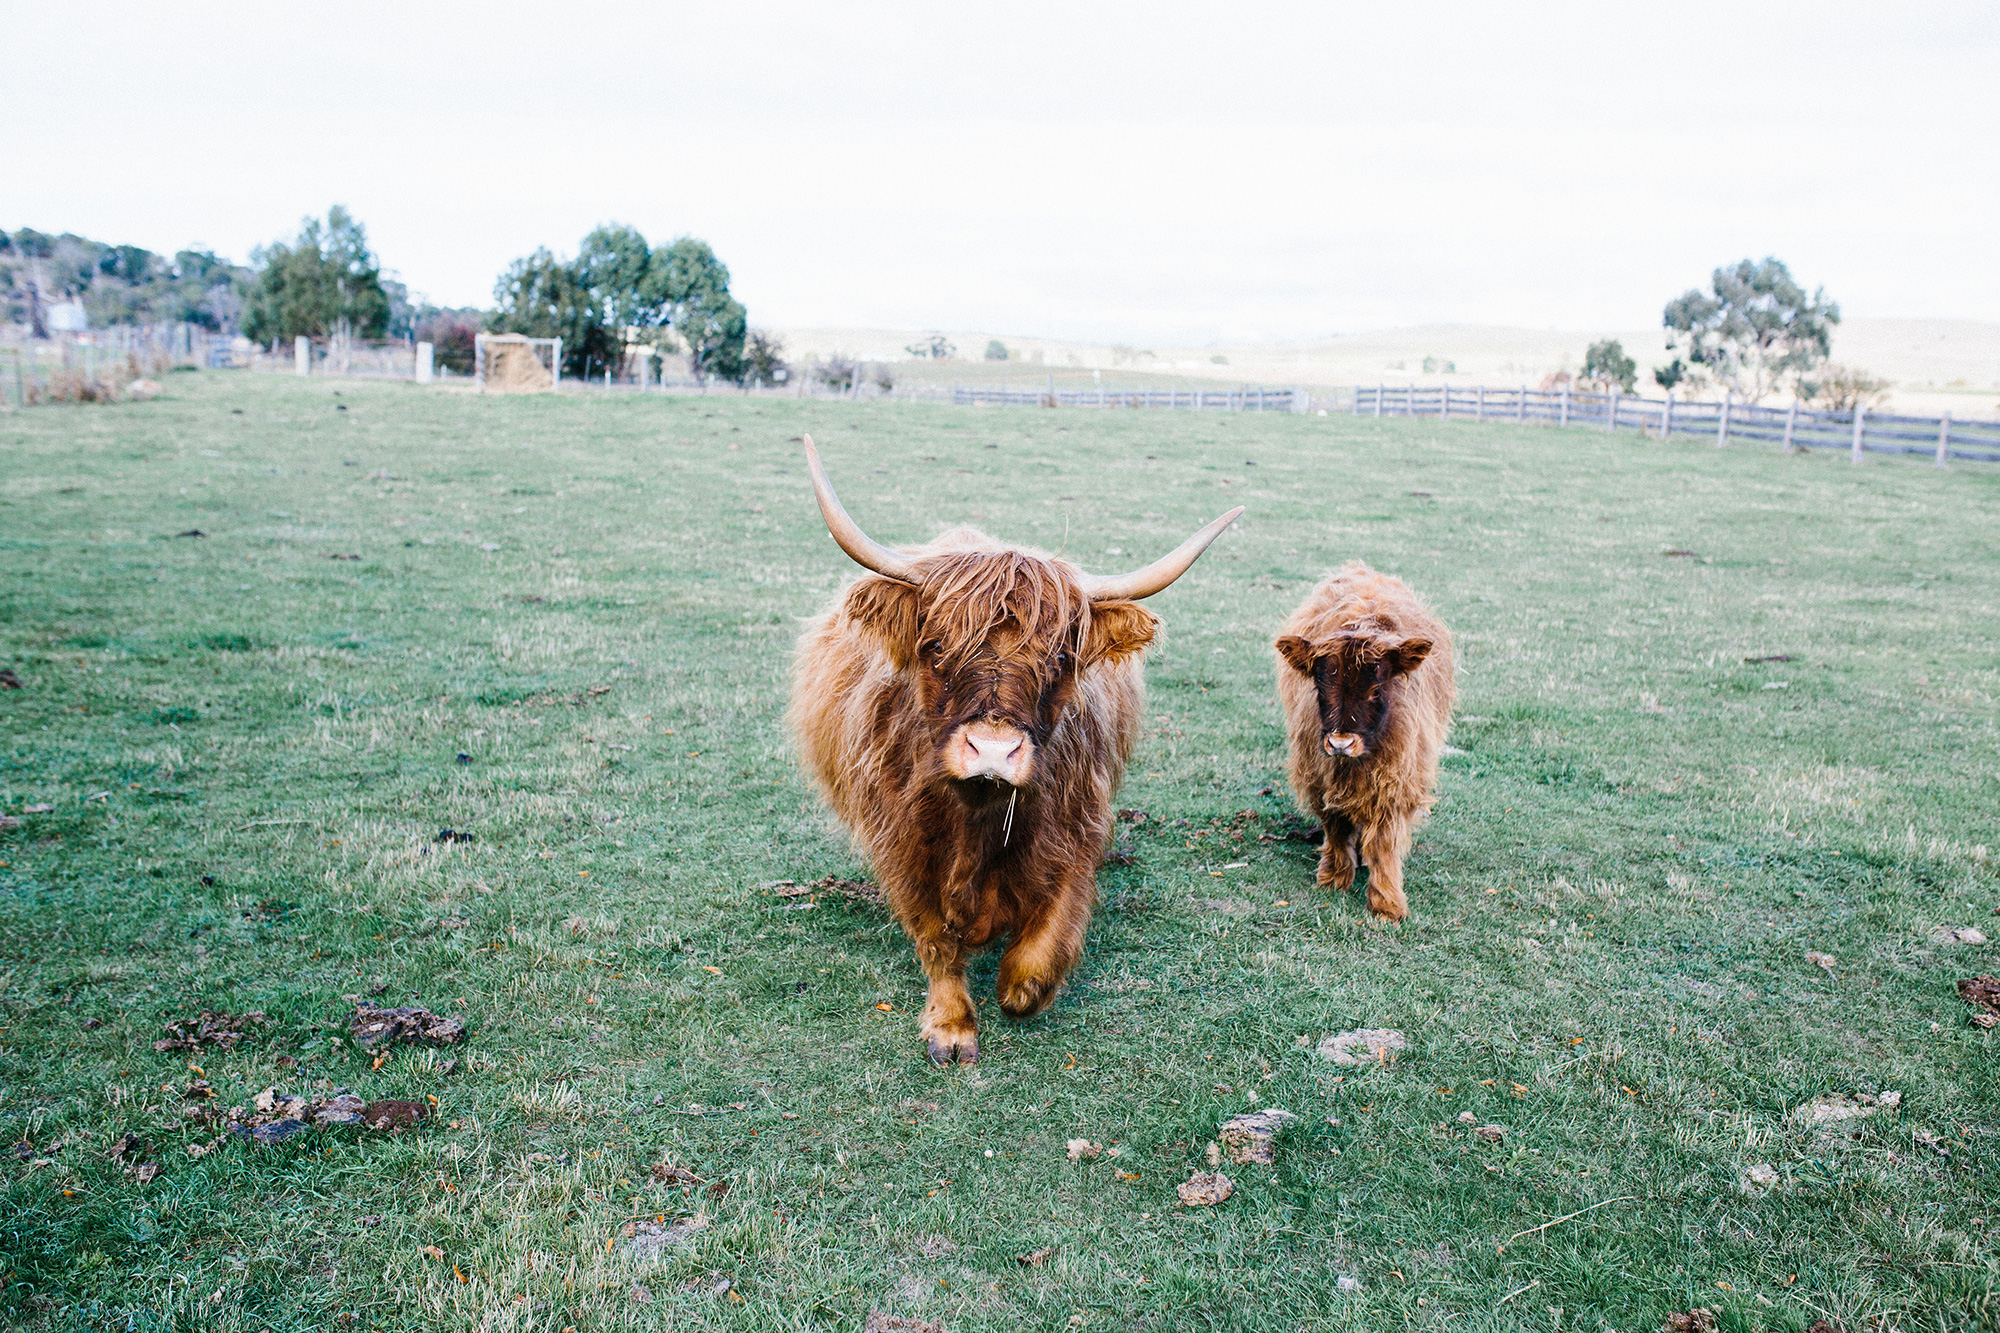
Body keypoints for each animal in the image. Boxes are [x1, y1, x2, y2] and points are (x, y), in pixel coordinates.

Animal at [792, 436, 1232, 1056]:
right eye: (935, 647)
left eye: (1061, 657)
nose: (994, 752)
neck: (978, 815)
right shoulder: (901, 842)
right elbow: (934, 937)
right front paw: (950, 1027)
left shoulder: (1075, 828)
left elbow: (1041, 952)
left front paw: (1018, 988)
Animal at [1280, 556, 1456, 912]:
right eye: (1320, 685)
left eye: (1376, 690)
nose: (1340, 743)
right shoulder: (1320, 778)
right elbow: (1335, 825)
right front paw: (1334, 878)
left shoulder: (1397, 779)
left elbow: (1384, 841)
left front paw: (1387, 902)